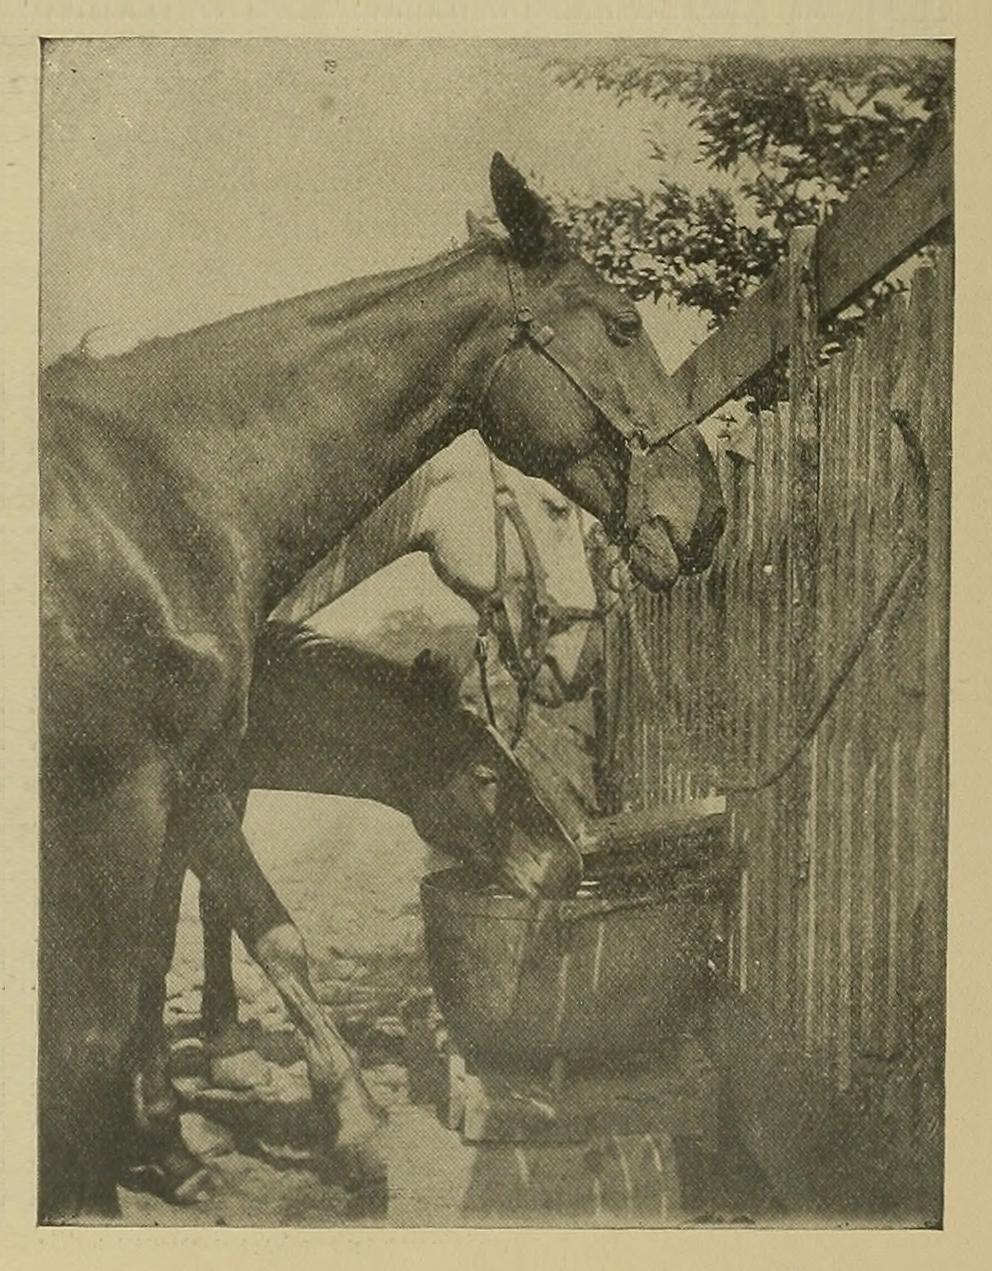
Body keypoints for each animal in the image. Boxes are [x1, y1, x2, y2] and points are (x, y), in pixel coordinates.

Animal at [39, 151, 725, 1219]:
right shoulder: (126, 783)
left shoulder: (190, 772)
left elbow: (203, 932)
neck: (164, 490)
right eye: (620, 324)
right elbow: (108, 1004)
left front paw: (182, 1125)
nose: (705, 514)